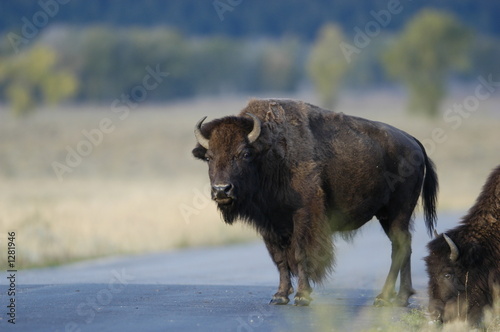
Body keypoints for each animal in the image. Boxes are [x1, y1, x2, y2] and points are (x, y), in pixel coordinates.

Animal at [192, 98, 438, 306]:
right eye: (209, 157)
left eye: (244, 154)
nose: (221, 189)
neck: (270, 154)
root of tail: (413, 142)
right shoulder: (270, 223)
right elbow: (280, 259)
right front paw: (279, 296)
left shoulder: (303, 215)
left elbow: (300, 254)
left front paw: (302, 296)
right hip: (387, 216)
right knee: (403, 246)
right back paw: (401, 297)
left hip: (398, 212)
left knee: (400, 246)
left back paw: (385, 297)